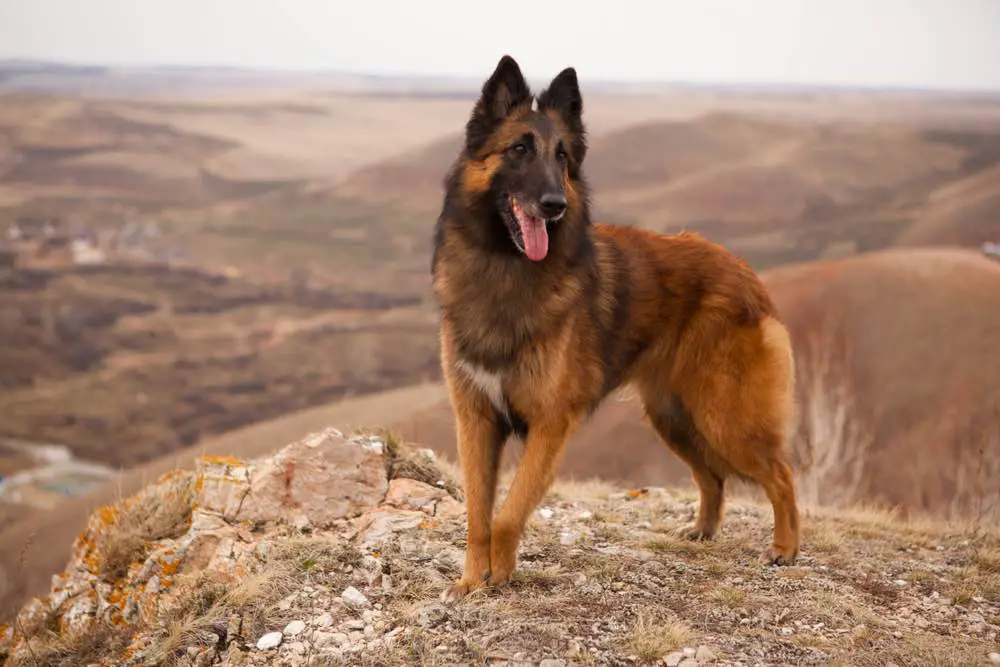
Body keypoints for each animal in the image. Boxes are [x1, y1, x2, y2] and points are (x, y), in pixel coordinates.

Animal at [432, 54, 804, 604]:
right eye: (519, 149)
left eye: (563, 157)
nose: (554, 204)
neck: (506, 269)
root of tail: (744, 271)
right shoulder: (476, 419)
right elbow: (478, 514)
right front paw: (470, 581)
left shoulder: (549, 425)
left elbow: (507, 513)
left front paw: (499, 575)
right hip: (674, 417)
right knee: (713, 476)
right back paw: (703, 530)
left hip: (724, 415)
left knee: (781, 475)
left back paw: (785, 548)